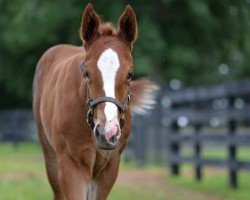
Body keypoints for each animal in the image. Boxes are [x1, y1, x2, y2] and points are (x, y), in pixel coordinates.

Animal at [32, 3, 158, 200]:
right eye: (86, 73)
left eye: (130, 74)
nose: (107, 132)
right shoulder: (71, 167)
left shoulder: (109, 168)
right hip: (50, 156)